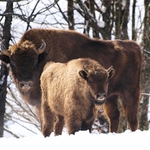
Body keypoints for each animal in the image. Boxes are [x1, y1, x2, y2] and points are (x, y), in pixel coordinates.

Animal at [0, 28, 142, 132]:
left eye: (35, 62)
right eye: (13, 63)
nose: (25, 83)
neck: (43, 57)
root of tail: (135, 45)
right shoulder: (40, 105)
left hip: (130, 93)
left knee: (132, 118)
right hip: (109, 96)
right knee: (114, 115)